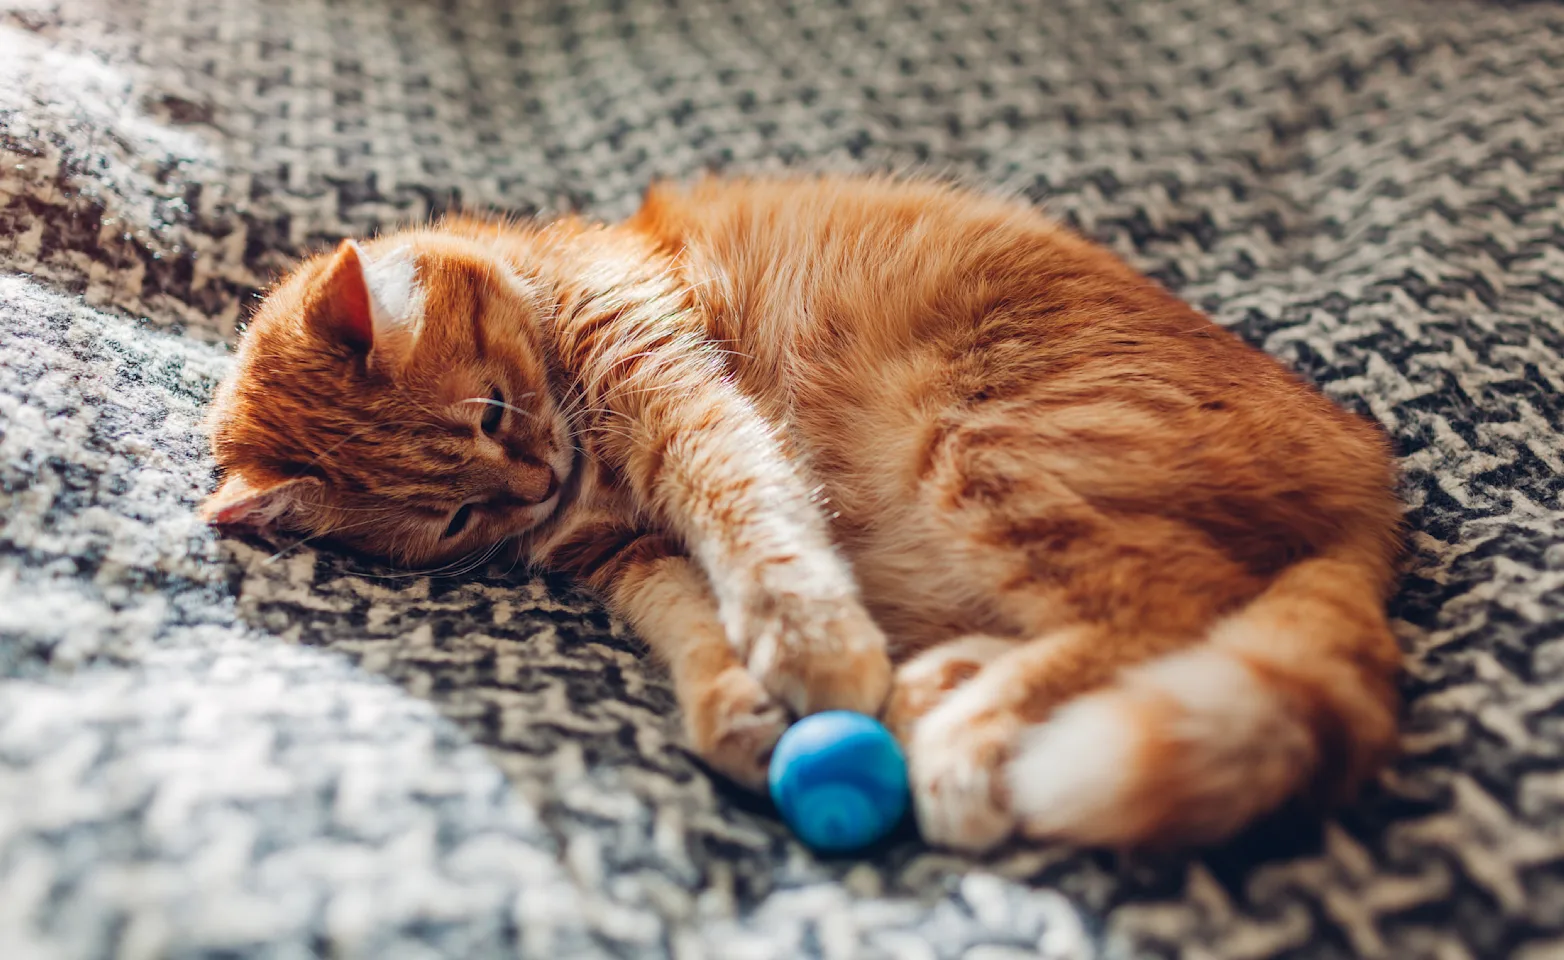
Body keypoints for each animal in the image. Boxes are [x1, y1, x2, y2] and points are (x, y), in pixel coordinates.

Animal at [198, 176, 1407, 856]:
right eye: (450, 521)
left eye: (491, 412)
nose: (533, 485)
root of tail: (1372, 478)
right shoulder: (627, 554)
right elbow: (691, 620)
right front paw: (735, 702)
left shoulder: (674, 391)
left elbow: (754, 527)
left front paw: (809, 651)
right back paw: (939, 686)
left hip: (981, 445)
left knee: (1173, 600)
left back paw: (966, 735)